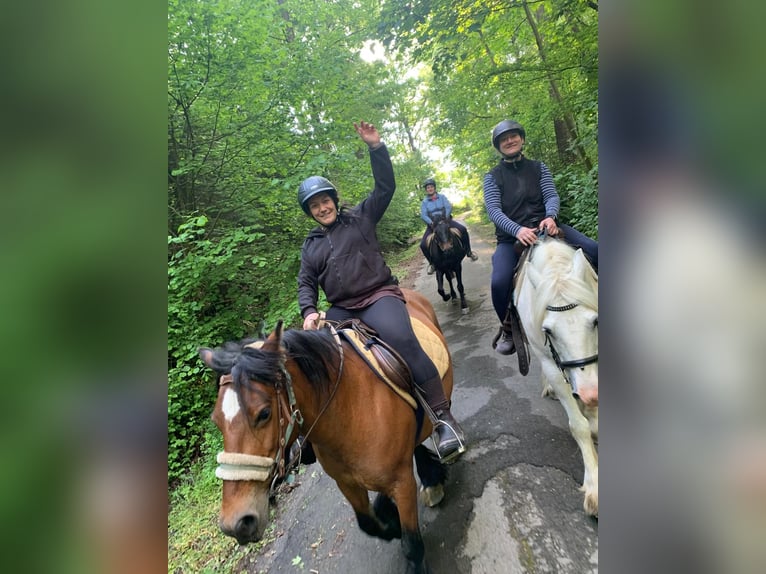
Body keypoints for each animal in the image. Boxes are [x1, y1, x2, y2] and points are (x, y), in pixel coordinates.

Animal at [198, 290, 460, 572]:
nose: (237, 523)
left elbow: (411, 543)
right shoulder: (346, 483)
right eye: (217, 420)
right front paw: (389, 520)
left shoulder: (401, 483)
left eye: (264, 413)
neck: (350, 411)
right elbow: (368, 523)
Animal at [516, 237, 600, 516]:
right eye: (548, 330)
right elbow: (579, 426)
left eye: (595, 321)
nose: (590, 393)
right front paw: (595, 486)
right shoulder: (553, 366)